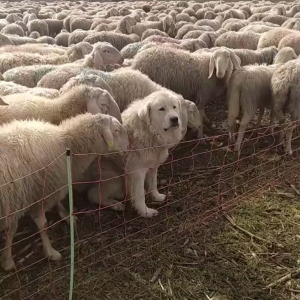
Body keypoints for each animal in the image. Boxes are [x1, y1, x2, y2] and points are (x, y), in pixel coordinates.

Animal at [0, 113, 127, 272]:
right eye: (116, 130)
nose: (128, 146)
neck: (65, 141)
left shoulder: (19, 198)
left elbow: (12, 229)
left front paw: (7, 260)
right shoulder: (39, 194)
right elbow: (43, 225)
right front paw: (51, 253)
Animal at [122, 89, 185, 218]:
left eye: (174, 107)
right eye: (161, 109)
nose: (175, 119)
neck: (149, 131)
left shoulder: (153, 166)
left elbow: (153, 183)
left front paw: (157, 197)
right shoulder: (137, 172)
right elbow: (140, 194)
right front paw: (145, 212)